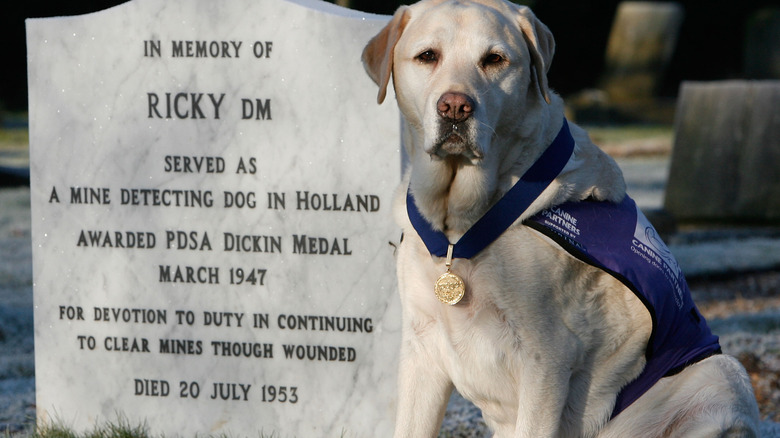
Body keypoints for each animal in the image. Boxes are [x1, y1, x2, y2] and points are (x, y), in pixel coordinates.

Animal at [364, 0, 760, 438]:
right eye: (427, 56)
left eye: (494, 60)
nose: (455, 107)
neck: (460, 225)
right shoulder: (421, 345)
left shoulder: (547, 356)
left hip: (720, 373)